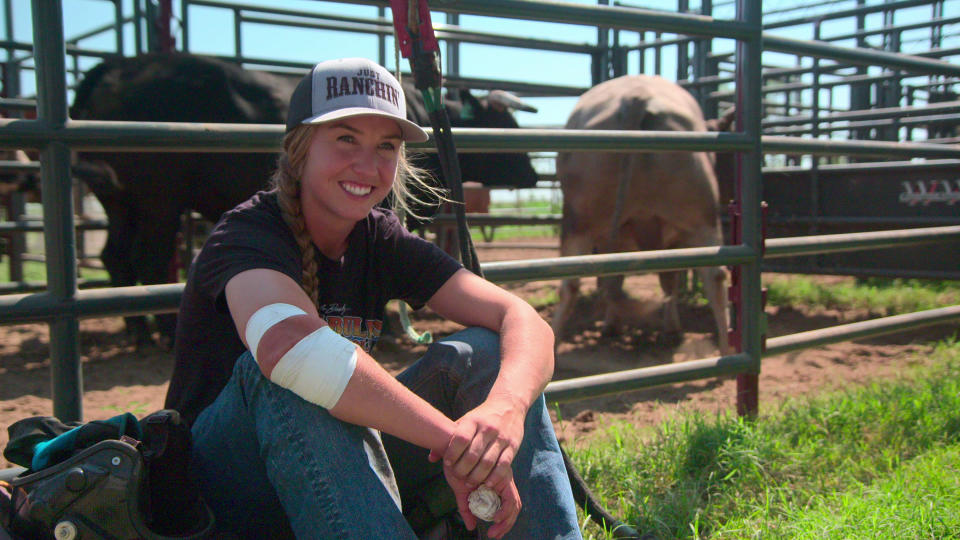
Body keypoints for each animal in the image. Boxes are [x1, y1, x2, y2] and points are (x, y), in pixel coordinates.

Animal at [70, 53, 540, 346]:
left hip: (121, 201)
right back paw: (163, 334)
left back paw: (137, 331)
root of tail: (120, 64)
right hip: (158, 201)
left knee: (116, 257)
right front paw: (391, 327)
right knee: (147, 260)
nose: (534, 173)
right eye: (502, 118)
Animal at [552, 76, 732, 354]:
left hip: (580, 221)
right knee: (716, 277)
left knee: (570, 284)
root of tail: (637, 96)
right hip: (701, 219)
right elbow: (664, 279)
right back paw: (726, 351)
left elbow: (624, 278)